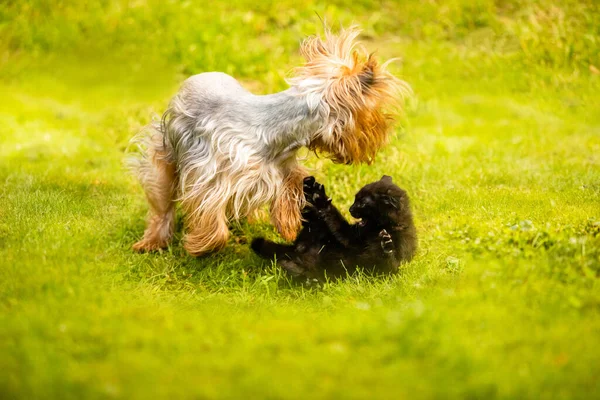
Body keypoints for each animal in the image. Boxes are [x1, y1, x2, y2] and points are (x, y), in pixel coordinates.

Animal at [130, 26, 412, 255]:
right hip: (163, 153)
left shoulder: (283, 170)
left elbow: (289, 193)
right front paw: (200, 246)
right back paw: (152, 242)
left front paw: (289, 226)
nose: (383, 137)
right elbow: (211, 218)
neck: (277, 131)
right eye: (377, 118)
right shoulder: (210, 177)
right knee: (162, 204)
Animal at [252, 175, 418, 282]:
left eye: (362, 203)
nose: (351, 209)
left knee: (299, 268)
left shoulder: (392, 266)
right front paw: (319, 198)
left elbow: (389, 262)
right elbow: (335, 219)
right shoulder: (352, 236)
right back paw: (310, 201)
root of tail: (296, 250)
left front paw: (386, 245)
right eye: (356, 199)